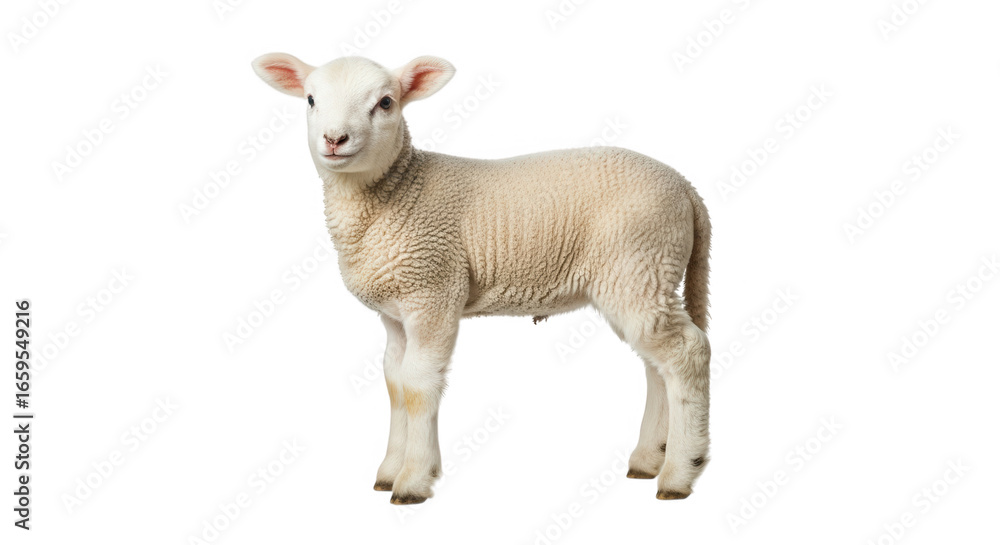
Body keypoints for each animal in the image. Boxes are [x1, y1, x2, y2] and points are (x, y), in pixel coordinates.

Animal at [251, 53, 713, 505]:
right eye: (310, 99)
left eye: (385, 102)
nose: (335, 139)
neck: (398, 192)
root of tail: (688, 190)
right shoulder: (396, 312)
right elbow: (395, 383)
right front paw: (389, 471)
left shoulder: (433, 290)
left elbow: (418, 385)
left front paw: (413, 480)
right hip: (641, 276)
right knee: (657, 364)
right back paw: (648, 458)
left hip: (641, 262)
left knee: (687, 353)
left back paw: (679, 473)